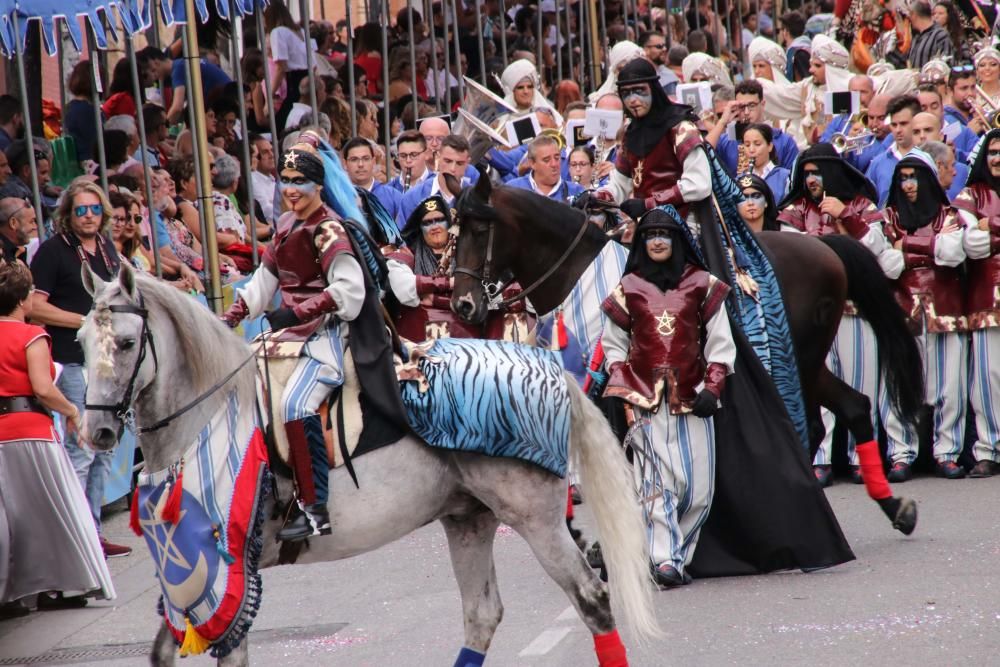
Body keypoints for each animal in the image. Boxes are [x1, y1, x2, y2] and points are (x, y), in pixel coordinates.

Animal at [82, 264, 660, 667]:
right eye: (83, 343)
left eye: (128, 343)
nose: (98, 432)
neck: (209, 413)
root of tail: (548, 369)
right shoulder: (188, 580)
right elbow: (163, 652)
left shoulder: (227, 572)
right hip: (467, 519)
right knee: (482, 616)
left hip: (535, 519)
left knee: (591, 599)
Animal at [446, 175, 920, 544]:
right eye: (456, 229)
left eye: (479, 229)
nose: (463, 305)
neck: (576, 276)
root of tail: (824, 247)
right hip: (811, 365)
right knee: (853, 407)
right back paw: (892, 507)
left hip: (800, 362)